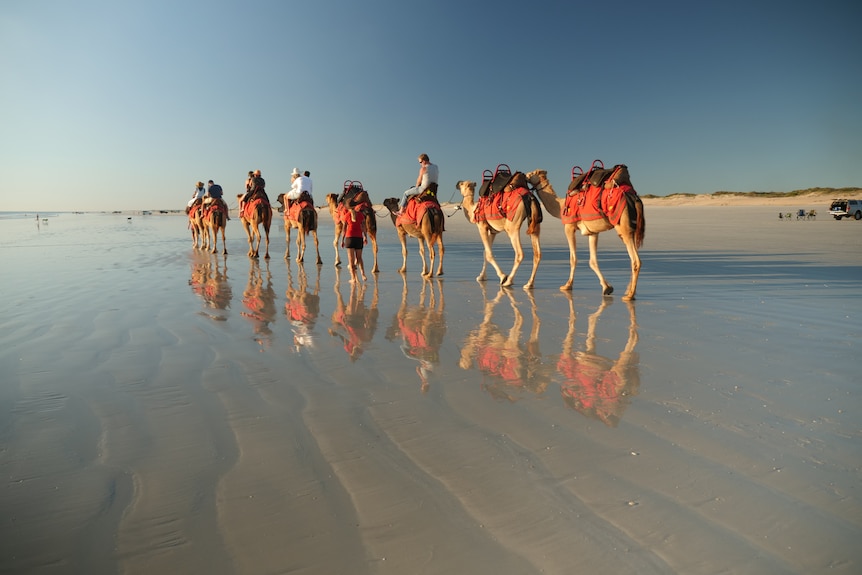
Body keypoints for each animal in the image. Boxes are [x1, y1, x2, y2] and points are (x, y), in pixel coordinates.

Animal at [528, 169, 648, 302]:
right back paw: (629, 292)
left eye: (531, 174)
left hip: (623, 226)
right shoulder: (593, 232)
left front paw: (567, 286)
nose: (526, 175)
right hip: (631, 228)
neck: (561, 206)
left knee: (635, 260)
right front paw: (607, 288)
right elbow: (592, 261)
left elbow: (573, 258)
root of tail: (635, 199)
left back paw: (629, 295)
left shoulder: (569, 227)